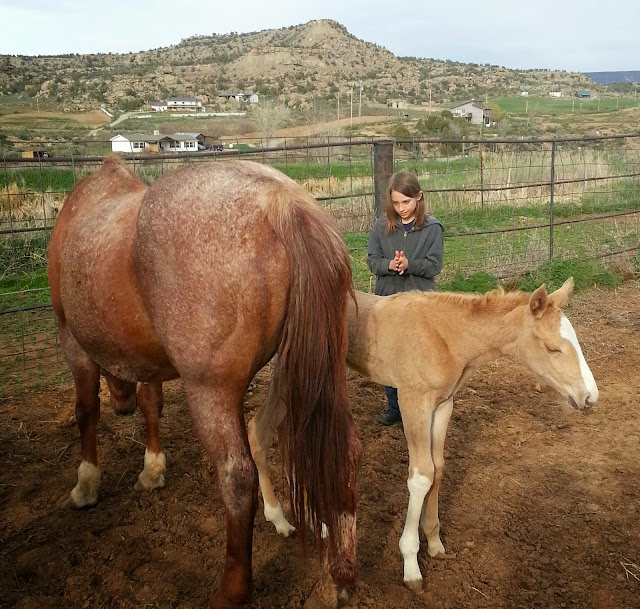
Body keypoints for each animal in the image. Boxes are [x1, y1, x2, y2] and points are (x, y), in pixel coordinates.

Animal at [46, 156, 362, 608]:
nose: (121, 404)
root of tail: (281, 202)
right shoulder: (150, 363)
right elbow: (152, 404)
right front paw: (152, 470)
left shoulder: (71, 340)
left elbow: (85, 411)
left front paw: (86, 485)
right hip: (321, 370)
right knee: (345, 452)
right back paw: (340, 571)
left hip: (210, 391)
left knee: (237, 476)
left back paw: (231, 591)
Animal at [247, 280, 599, 591]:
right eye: (552, 348)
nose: (590, 397)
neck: (445, 337)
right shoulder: (412, 399)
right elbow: (421, 476)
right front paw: (411, 565)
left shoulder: (443, 405)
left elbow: (438, 468)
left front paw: (434, 541)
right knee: (259, 432)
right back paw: (281, 521)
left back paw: (312, 521)